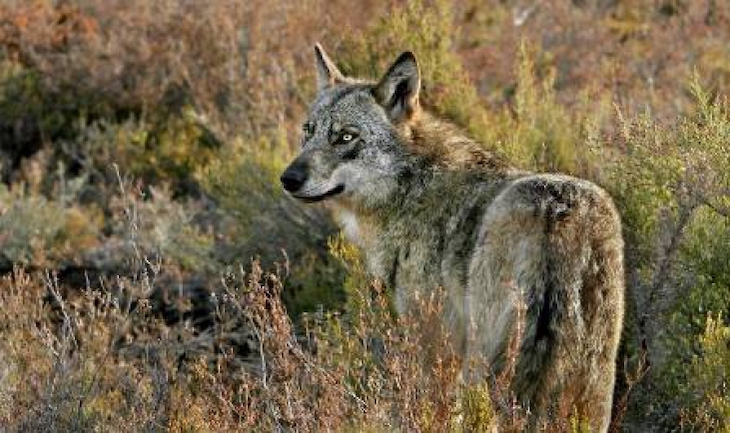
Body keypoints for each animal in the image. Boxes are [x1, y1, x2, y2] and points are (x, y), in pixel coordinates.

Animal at [280, 44, 625, 431]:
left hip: (485, 361)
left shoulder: (434, 343)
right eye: (308, 131)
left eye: (345, 137)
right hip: (590, 380)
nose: (288, 178)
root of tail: (557, 211)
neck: (411, 186)